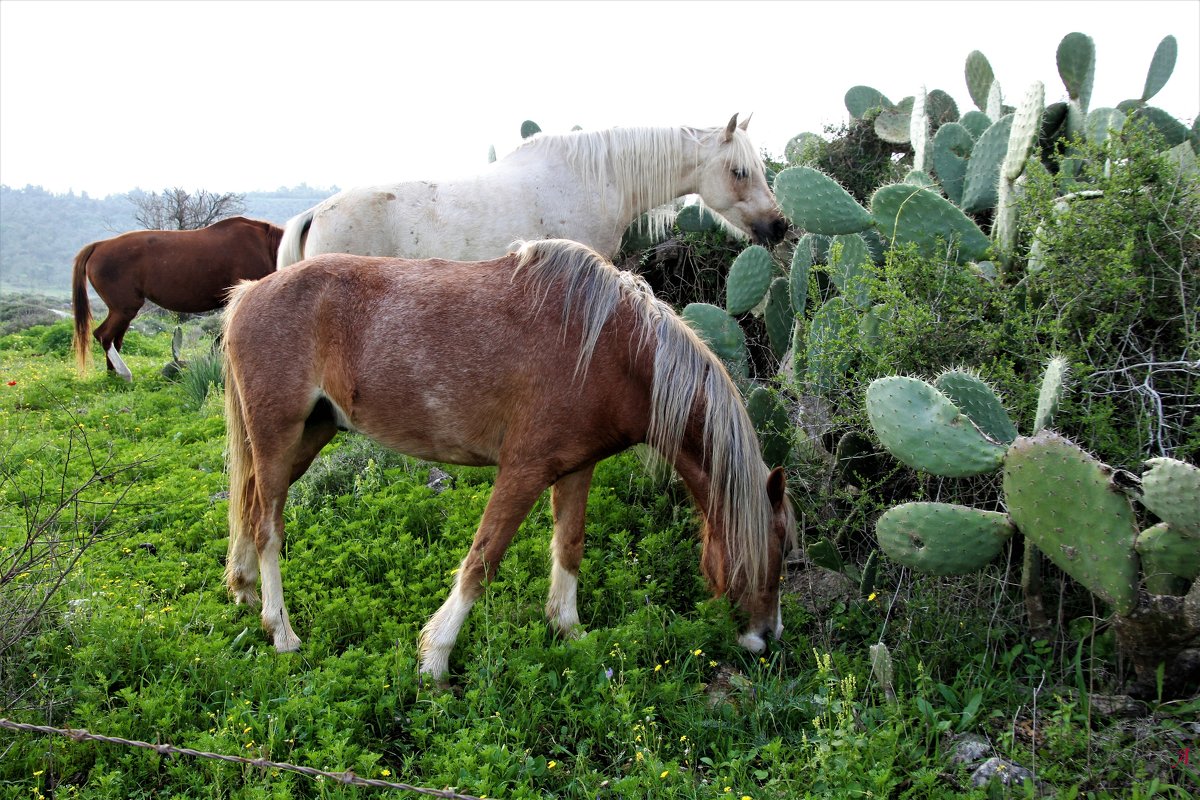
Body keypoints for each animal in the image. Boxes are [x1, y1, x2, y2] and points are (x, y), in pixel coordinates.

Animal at [71, 215, 282, 381]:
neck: (267, 247)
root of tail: (98, 246)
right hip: (124, 309)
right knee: (104, 336)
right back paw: (125, 374)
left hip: (121, 312)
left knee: (114, 340)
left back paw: (113, 376)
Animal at [226, 239, 796, 681]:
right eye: (781, 551)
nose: (766, 637)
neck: (610, 350)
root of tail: (249, 292)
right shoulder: (524, 471)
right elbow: (483, 559)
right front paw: (435, 658)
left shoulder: (576, 468)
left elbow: (570, 545)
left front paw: (570, 630)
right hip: (279, 437)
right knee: (268, 527)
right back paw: (282, 632)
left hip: (308, 436)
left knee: (251, 509)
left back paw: (244, 592)